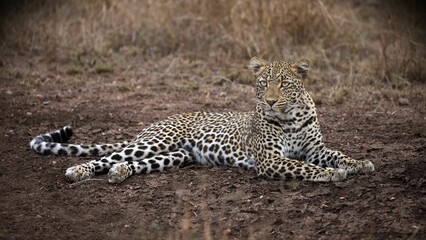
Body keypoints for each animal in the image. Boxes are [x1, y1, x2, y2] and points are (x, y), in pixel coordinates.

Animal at [30, 57, 374, 184]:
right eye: (264, 84)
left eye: (285, 84)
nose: (270, 101)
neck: (290, 116)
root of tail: (153, 124)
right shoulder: (270, 159)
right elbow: (302, 166)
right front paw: (329, 174)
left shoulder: (315, 148)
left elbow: (336, 153)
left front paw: (359, 163)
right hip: (156, 142)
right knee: (107, 156)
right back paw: (78, 171)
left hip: (174, 156)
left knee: (129, 163)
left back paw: (119, 173)